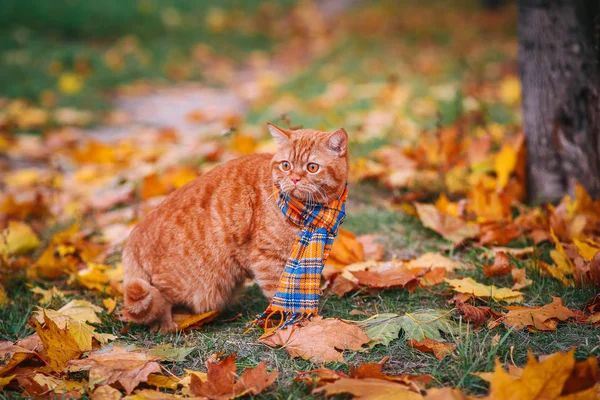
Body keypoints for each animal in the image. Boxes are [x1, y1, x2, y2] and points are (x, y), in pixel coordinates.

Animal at [122, 124, 350, 332]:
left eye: (312, 167)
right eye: (286, 165)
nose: (294, 178)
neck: (311, 214)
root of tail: (132, 237)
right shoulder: (267, 258)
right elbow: (281, 295)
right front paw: (292, 326)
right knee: (157, 301)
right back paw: (167, 324)